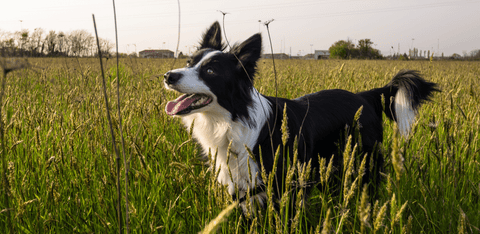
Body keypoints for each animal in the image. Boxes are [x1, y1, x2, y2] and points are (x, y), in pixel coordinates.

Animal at [164, 22, 438, 211]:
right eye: (189, 63)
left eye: (210, 71)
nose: (168, 76)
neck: (232, 120)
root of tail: (364, 96)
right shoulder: (241, 188)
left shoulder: (283, 186)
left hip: (362, 165)